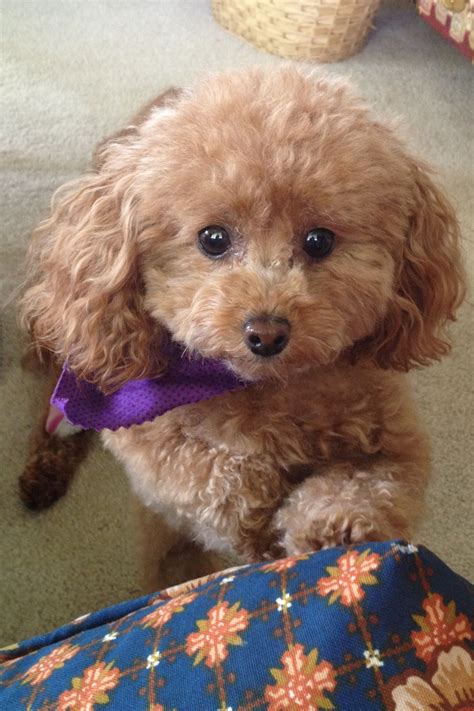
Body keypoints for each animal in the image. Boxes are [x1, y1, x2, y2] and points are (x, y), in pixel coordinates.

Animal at [18, 69, 462, 564]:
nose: (266, 334)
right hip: (83, 352)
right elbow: (214, 479)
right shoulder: (152, 442)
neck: (257, 389)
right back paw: (43, 471)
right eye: (213, 238)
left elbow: (370, 484)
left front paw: (329, 528)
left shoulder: (396, 439)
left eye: (319, 240)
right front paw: (259, 514)